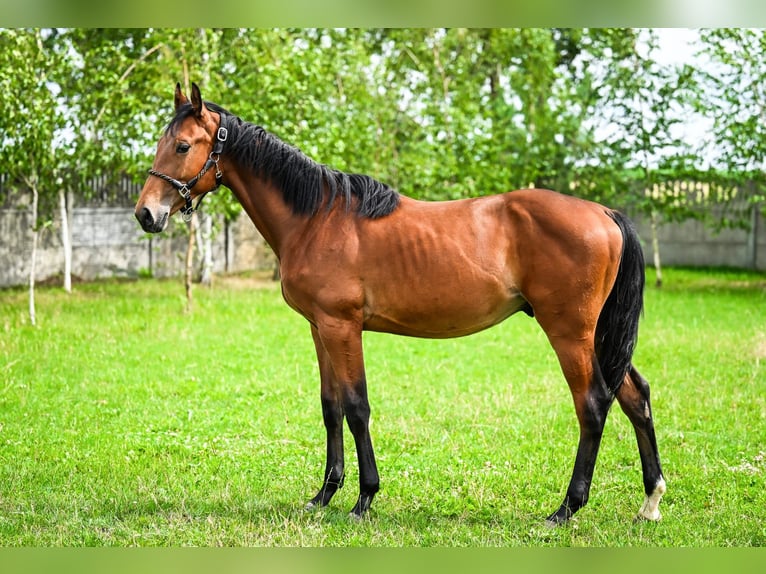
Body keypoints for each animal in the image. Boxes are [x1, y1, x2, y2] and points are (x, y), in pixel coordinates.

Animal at [135, 83, 666, 525]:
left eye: (183, 146)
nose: (146, 214)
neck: (317, 217)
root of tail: (604, 212)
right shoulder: (319, 329)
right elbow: (330, 408)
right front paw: (323, 495)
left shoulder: (342, 327)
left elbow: (357, 407)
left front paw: (364, 499)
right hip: (597, 336)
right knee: (634, 396)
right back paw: (650, 501)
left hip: (569, 333)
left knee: (592, 405)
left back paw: (566, 508)